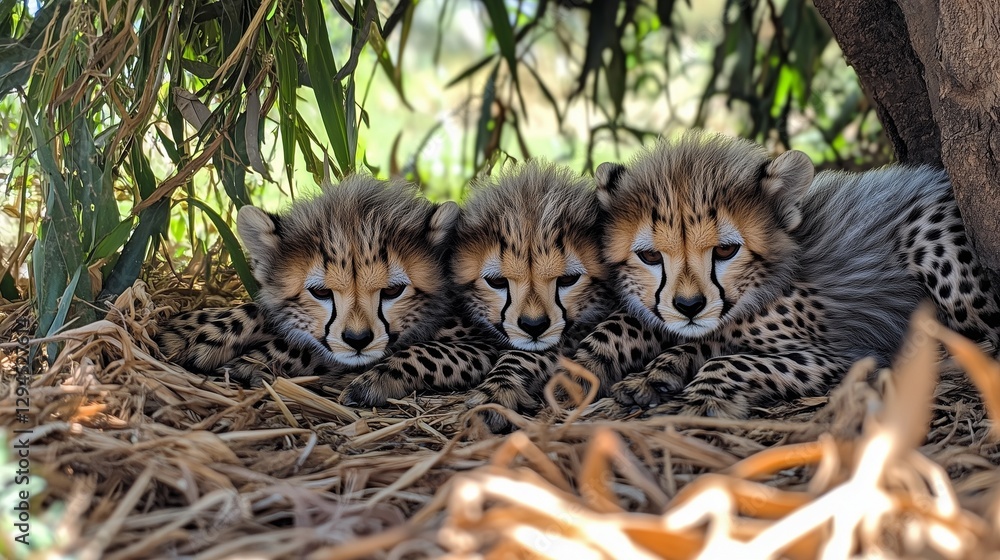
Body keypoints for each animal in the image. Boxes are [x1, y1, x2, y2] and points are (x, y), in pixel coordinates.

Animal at [156, 174, 499, 404]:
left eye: (393, 291)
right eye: (320, 293)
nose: (358, 340)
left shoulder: (487, 344)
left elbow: (425, 351)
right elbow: (264, 310)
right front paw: (197, 331)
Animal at [570, 131, 1000, 419]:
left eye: (725, 250)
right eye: (650, 256)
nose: (689, 306)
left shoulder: (846, 353)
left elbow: (730, 361)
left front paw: (695, 399)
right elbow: (680, 339)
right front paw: (642, 373)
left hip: (929, 237)